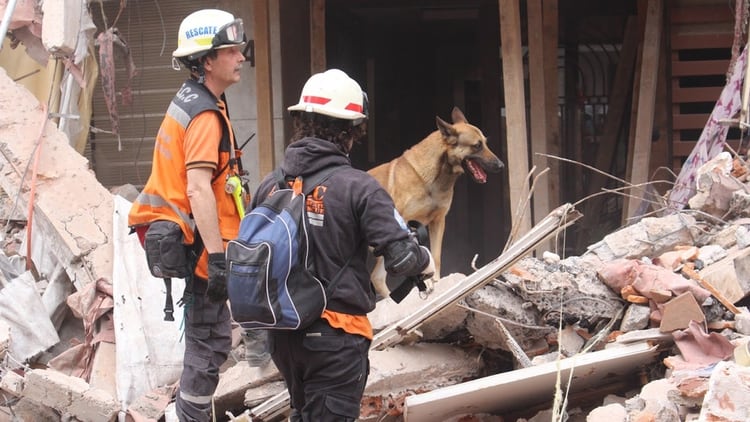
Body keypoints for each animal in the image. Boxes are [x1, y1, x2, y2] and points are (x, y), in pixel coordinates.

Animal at [368, 107, 506, 298]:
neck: (433, 179)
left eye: (485, 143)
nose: (501, 166)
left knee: (377, 277)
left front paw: (435, 282)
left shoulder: (438, 222)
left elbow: (436, 256)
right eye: (477, 145)